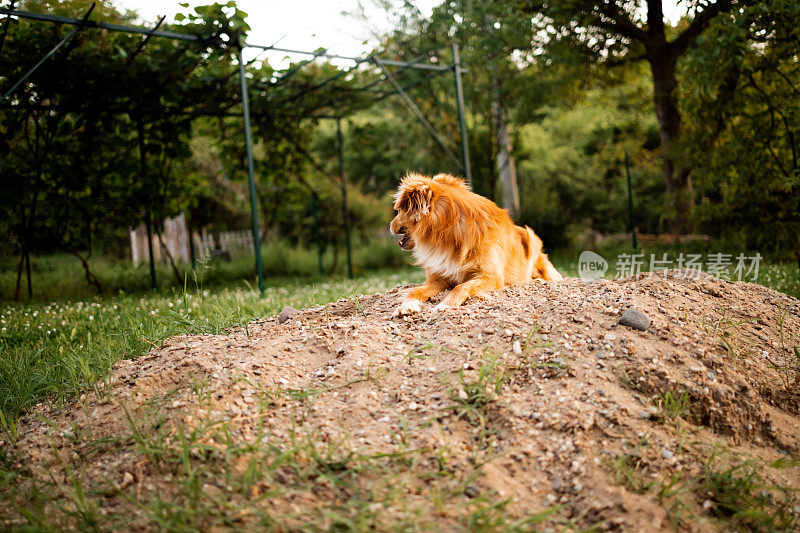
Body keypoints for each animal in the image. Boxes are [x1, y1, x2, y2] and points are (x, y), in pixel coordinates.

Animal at [390, 172, 560, 316]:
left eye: (399, 210)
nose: (389, 225)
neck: (449, 235)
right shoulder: (438, 278)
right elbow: (415, 291)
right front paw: (406, 305)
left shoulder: (491, 276)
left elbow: (461, 286)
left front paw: (445, 305)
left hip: (532, 239)